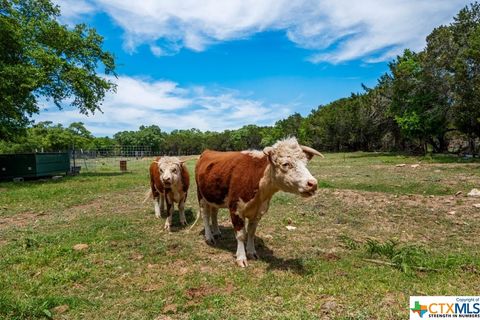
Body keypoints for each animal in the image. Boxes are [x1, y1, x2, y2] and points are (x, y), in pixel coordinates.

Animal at [194, 138, 322, 268]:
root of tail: (207, 151)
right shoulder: (235, 209)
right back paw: (209, 237)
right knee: (205, 215)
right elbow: (241, 235)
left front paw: (251, 252)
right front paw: (241, 257)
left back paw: (217, 232)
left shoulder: (258, 212)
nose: (313, 184)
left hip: (214, 196)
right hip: (201, 195)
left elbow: (251, 232)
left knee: (214, 213)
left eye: (305, 163)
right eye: (286, 164)